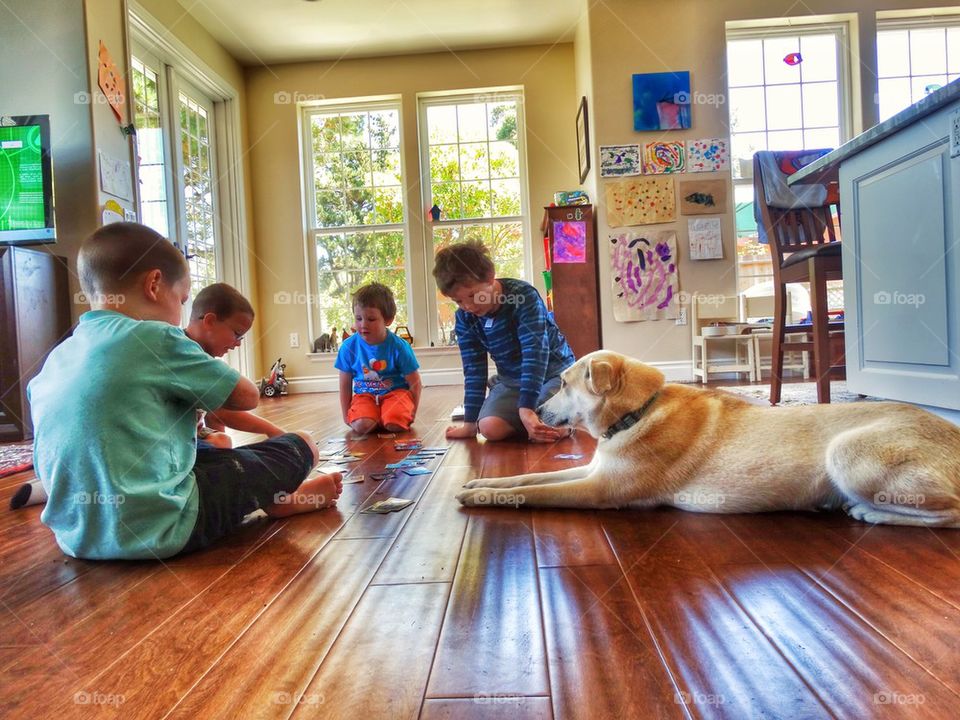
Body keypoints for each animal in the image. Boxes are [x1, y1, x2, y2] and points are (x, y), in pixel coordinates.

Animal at [456, 350, 960, 524]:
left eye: (562, 383)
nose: (537, 412)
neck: (638, 413)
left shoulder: (600, 490)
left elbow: (535, 491)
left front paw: (477, 497)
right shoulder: (594, 469)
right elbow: (521, 481)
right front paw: (481, 484)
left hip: (847, 453)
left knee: (950, 513)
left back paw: (868, 513)